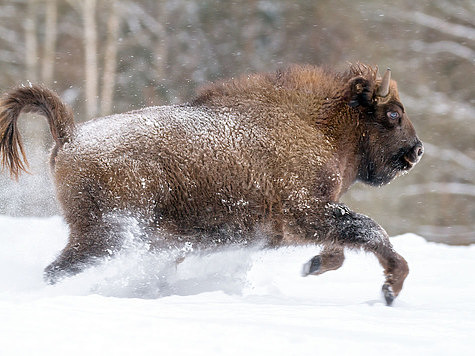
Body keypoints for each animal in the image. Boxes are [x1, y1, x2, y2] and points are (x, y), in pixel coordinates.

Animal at [0, 63, 424, 304]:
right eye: (392, 114)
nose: (417, 150)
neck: (319, 125)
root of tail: (71, 135)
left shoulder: (313, 216)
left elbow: (343, 244)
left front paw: (313, 265)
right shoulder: (304, 212)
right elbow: (368, 230)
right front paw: (391, 288)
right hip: (104, 236)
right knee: (58, 269)